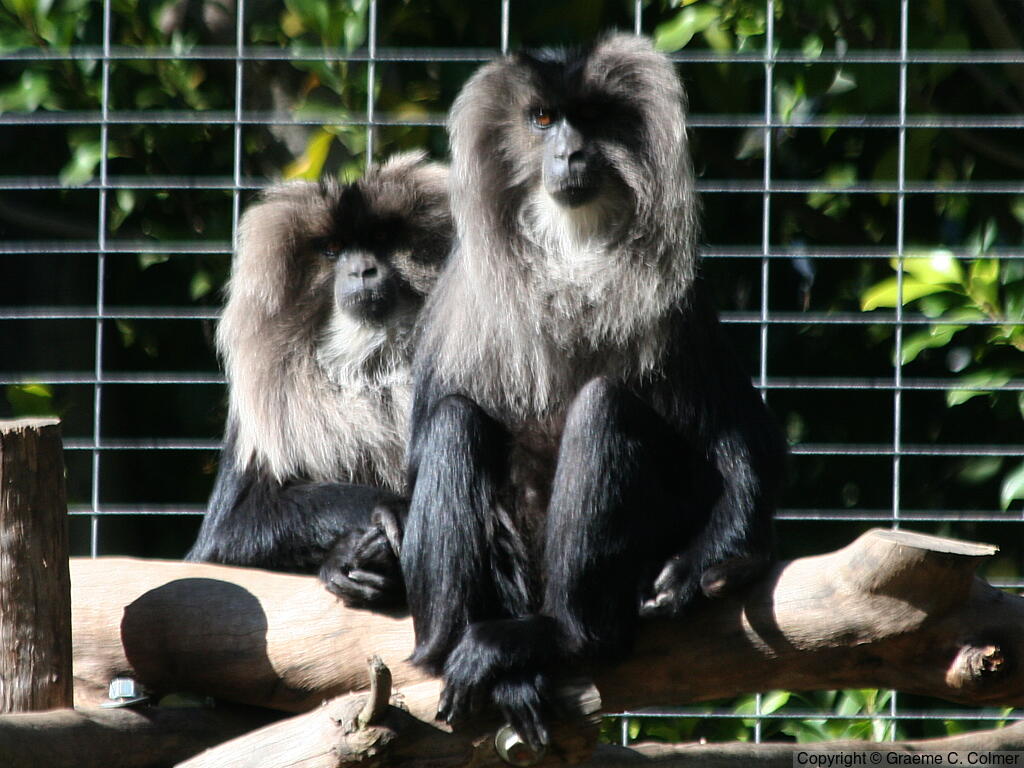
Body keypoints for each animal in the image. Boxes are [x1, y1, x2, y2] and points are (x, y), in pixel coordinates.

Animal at [187, 152, 452, 609]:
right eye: (332, 249)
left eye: (382, 237)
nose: (362, 271)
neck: (373, 364)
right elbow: (227, 535)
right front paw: (385, 514)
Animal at [399, 35, 787, 747]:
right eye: (542, 119)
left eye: (595, 118)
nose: (570, 154)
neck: (572, 252)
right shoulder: (458, 299)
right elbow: (420, 449)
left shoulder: (681, 306)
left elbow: (748, 445)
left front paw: (704, 568)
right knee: (453, 420)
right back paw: (467, 654)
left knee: (605, 406)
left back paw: (563, 636)